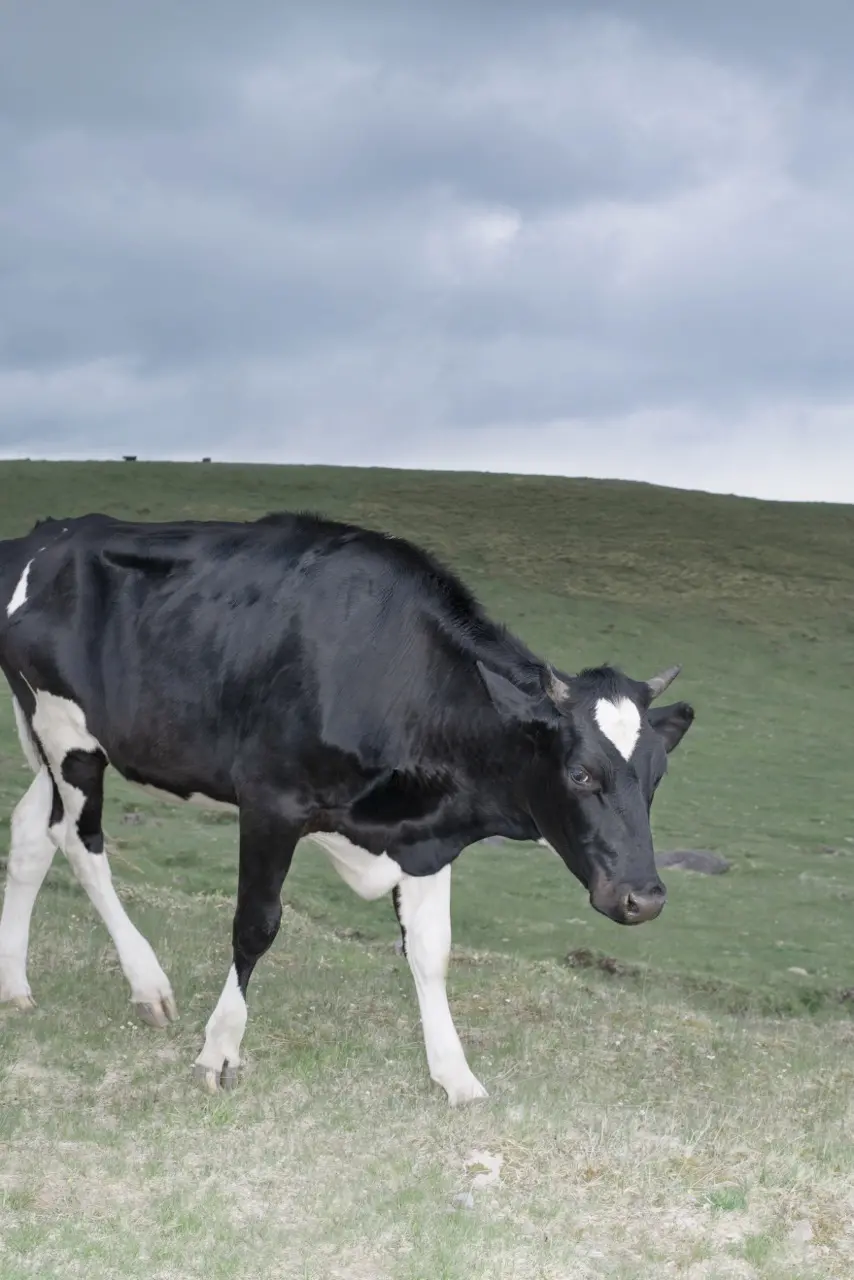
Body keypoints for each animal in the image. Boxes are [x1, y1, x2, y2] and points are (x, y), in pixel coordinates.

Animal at [0, 511, 695, 1104]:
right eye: (581, 773)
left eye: (656, 776)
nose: (645, 897)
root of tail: (49, 533)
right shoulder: (271, 799)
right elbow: (255, 925)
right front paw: (220, 1050)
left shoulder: (425, 838)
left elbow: (432, 950)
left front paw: (456, 1075)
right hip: (66, 732)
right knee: (79, 841)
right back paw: (148, 985)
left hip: (57, 737)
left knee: (34, 832)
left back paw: (16, 987)